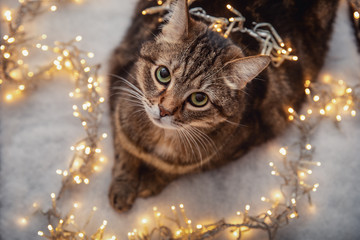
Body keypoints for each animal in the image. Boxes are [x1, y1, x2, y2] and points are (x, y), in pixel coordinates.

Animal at [106, 0, 358, 212]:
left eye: (199, 99)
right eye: (163, 74)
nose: (164, 110)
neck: (161, 139)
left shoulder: (232, 148)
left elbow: (176, 170)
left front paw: (151, 180)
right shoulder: (119, 86)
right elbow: (124, 149)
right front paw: (124, 186)